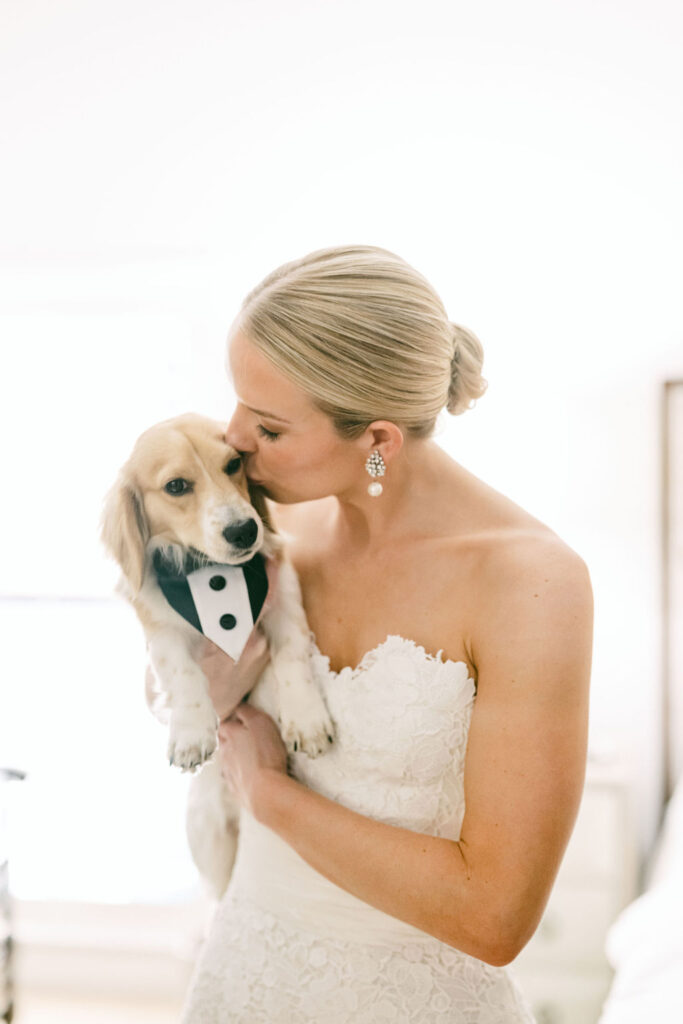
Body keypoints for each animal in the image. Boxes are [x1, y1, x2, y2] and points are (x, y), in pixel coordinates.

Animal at [100, 411, 335, 892]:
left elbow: (292, 658)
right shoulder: (161, 628)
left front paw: (306, 718)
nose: (245, 530)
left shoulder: (284, 595)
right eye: (176, 486)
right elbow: (183, 675)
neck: (212, 574)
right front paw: (192, 732)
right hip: (210, 840)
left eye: (234, 464)